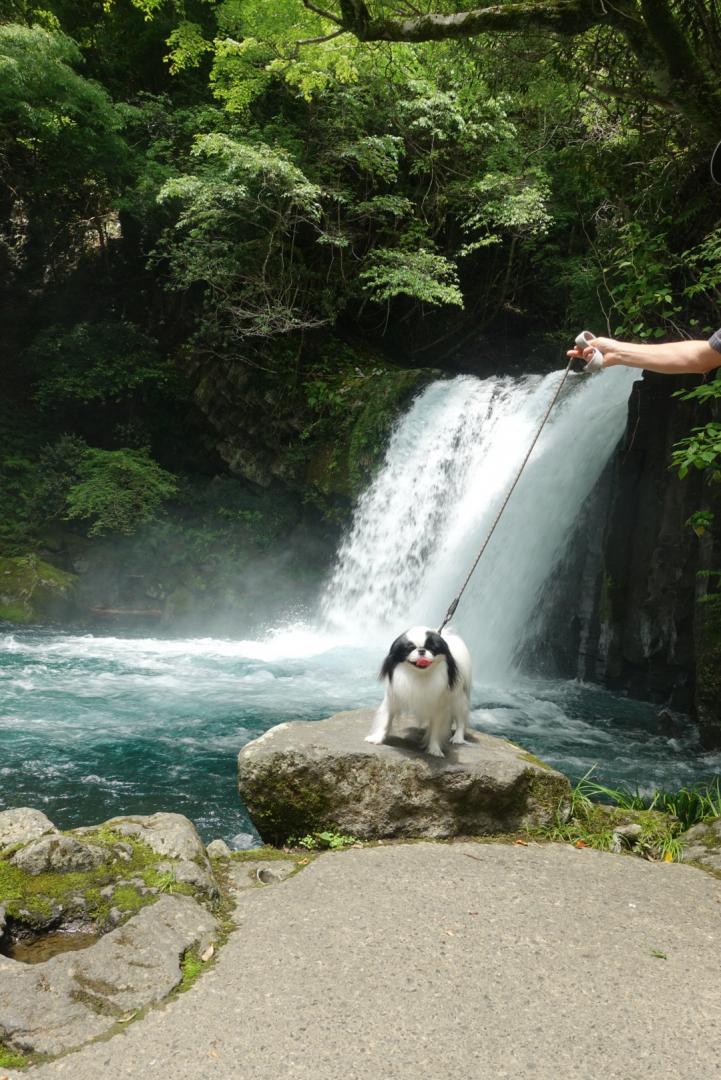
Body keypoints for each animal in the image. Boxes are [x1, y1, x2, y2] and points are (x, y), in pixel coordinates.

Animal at [366, 626, 472, 760]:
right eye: (410, 648)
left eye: (432, 648)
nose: (421, 651)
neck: (419, 675)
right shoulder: (392, 698)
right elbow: (385, 720)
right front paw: (376, 739)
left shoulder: (439, 707)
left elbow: (436, 730)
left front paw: (435, 750)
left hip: (457, 698)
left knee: (461, 719)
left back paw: (458, 738)